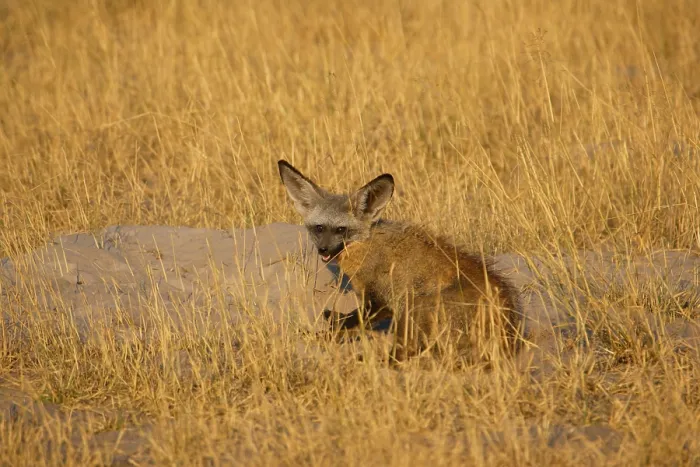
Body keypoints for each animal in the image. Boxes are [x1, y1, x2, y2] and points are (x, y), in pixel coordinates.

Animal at [277, 159, 522, 365]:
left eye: (341, 230)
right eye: (319, 228)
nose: (324, 250)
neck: (365, 247)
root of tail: (509, 335)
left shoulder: (381, 302)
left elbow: (350, 324)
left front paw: (321, 336)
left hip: (414, 307)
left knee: (399, 357)